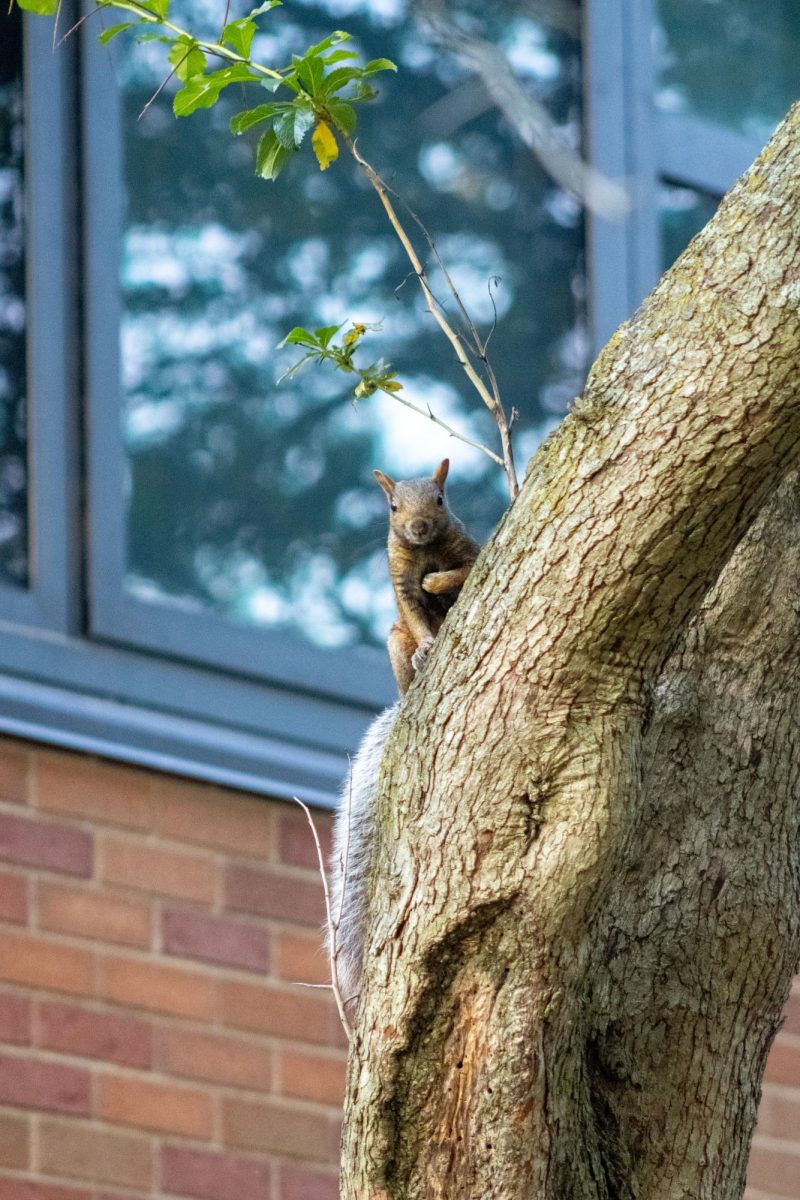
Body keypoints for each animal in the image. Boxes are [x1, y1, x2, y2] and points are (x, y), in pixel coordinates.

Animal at [328, 458, 479, 1003]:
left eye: (440, 499)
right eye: (392, 506)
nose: (416, 526)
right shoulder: (401, 583)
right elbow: (413, 606)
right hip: (395, 644)